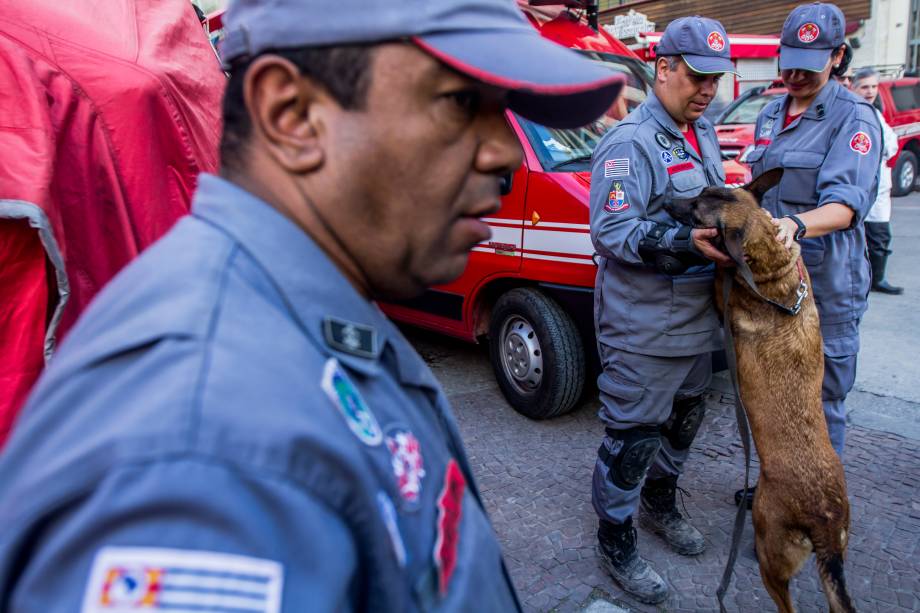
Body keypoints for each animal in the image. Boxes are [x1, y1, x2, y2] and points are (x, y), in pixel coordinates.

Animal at [668, 170, 856, 612]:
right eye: (703, 191)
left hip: (770, 551)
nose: (667, 200)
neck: (772, 274)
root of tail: (824, 520)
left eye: (696, 208)